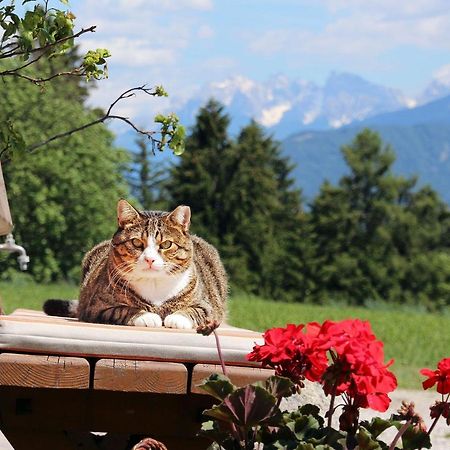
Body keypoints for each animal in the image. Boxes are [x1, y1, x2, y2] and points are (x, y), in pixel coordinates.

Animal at [44, 200, 227, 330]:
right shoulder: (96, 307)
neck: (154, 285)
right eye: (137, 242)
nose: (150, 259)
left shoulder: (209, 307)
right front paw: (146, 315)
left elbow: (197, 310)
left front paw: (177, 318)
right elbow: (123, 309)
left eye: (166, 244)